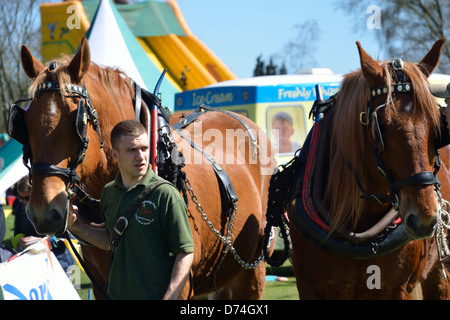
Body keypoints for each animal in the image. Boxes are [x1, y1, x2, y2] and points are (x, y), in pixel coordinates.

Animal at [12, 37, 276, 300]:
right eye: (24, 123)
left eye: (77, 121)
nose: (44, 214)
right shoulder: (103, 287)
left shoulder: (181, 284)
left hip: (250, 273)